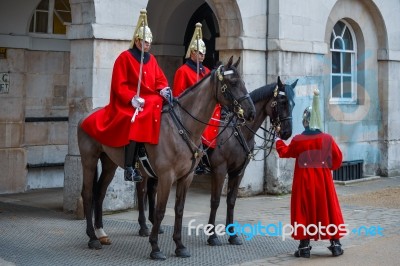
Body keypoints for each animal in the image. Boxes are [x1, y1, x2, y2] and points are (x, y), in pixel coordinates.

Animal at [76, 56, 255, 260]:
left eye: (243, 81)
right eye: (233, 83)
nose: (251, 112)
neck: (183, 126)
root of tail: (87, 115)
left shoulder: (187, 177)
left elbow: (179, 209)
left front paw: (180, 246)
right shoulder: (167, 176)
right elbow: (161, 211)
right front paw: (155, 247)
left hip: (109, 163)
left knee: (100, 193)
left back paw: (101, 233)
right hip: (89, 160)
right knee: (88, 194)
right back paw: (92, 238)